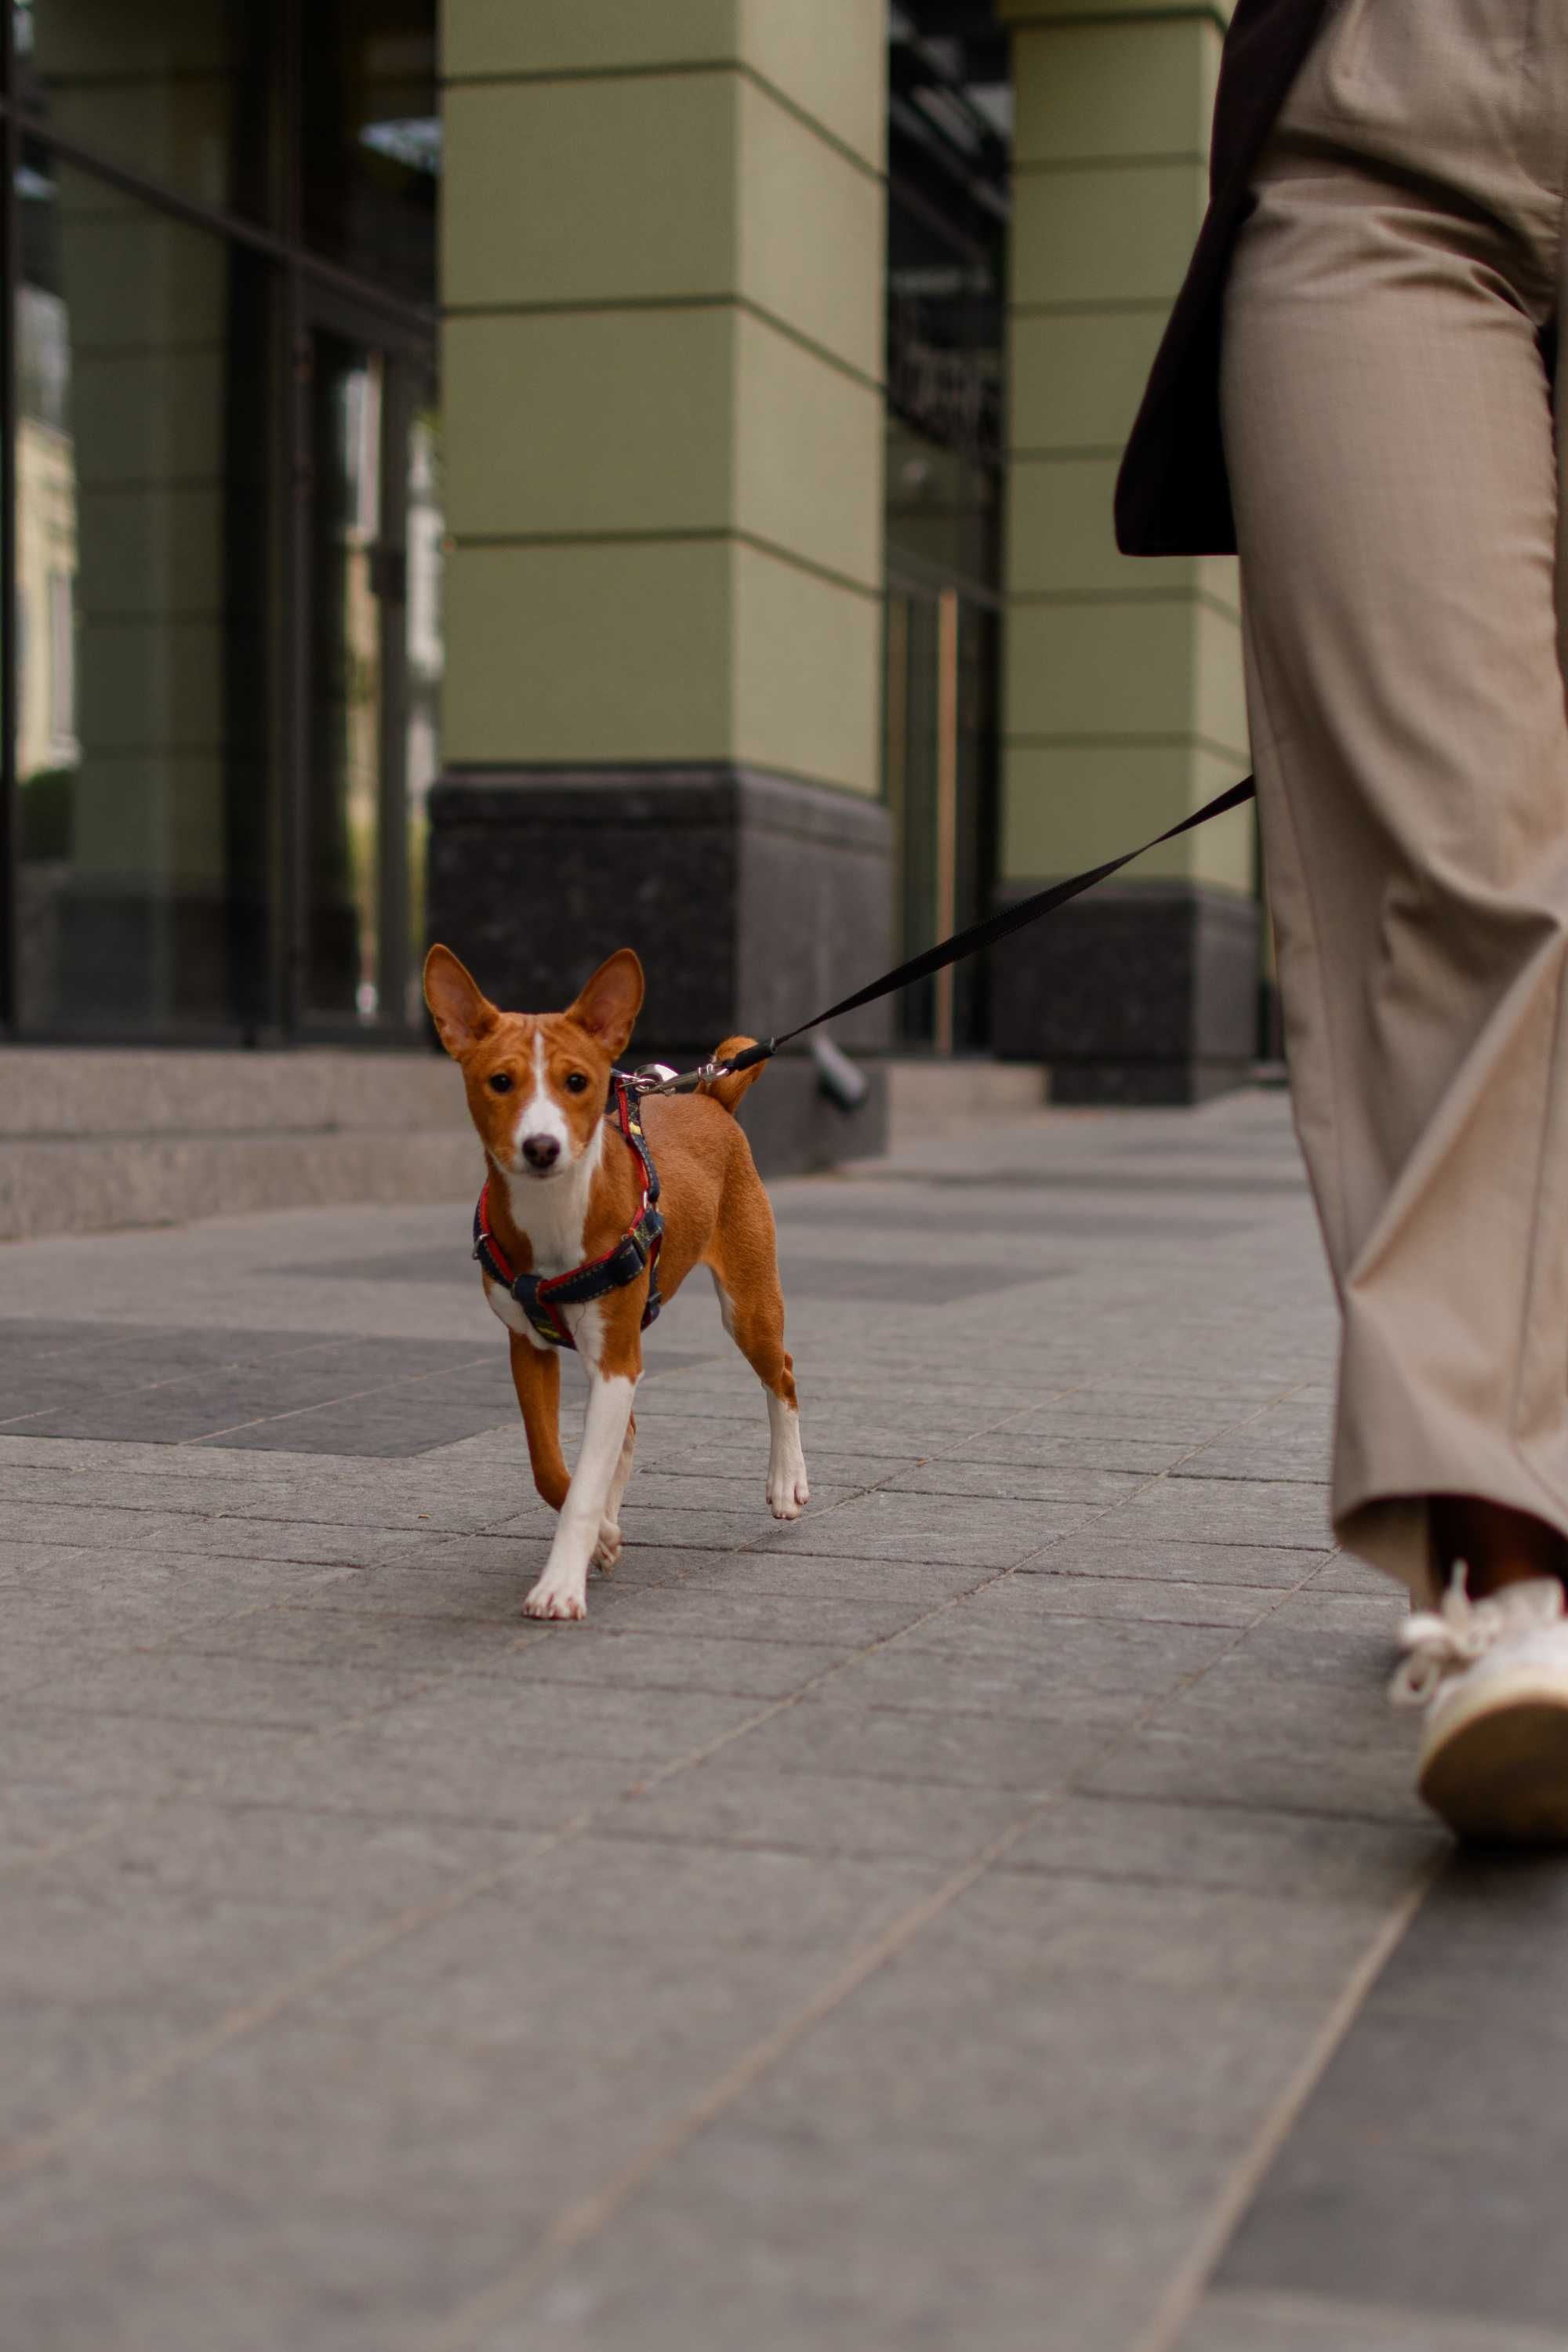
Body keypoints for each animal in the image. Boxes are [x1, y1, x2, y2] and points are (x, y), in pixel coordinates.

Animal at [423, 936, 808, 1618]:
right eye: (501, 1082)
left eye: (577, 1081)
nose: (542, 1147)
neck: (555, 1214)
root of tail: (708, 1096)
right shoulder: (528, 1347)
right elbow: (551, 1469)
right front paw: (600, 1535)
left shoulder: (616, 1358)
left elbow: (579, 1485)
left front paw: (560, 1584)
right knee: (625, 1433)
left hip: (748, 1303)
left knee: (781, 1372)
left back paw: (787, 1481)